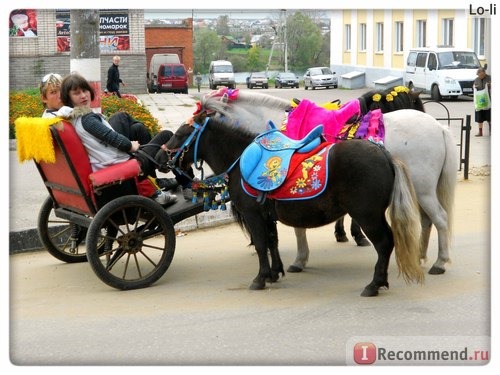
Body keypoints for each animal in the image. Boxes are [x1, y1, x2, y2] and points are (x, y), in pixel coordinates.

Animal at [198, 89, 458, 274]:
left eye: (203, 118)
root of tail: (439, 127)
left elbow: (299, 229)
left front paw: (300, 259)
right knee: (427, 221)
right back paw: (421, 256)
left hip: (423, 191)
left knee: (440, 219)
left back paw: (440, 262)